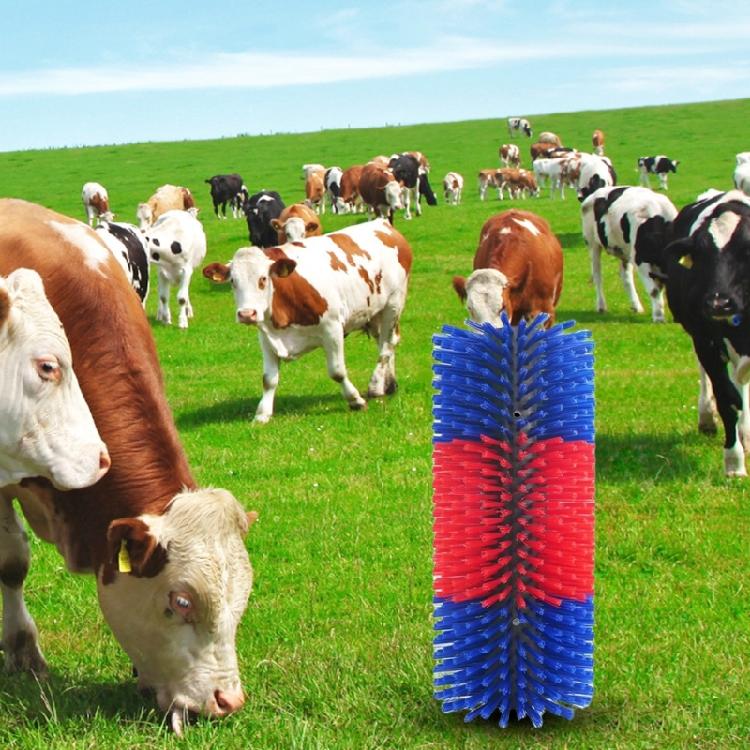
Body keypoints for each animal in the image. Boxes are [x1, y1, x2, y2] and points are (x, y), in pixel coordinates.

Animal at [202, 218, 412, 423]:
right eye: (233, 281)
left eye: (263, 279)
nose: (247, 314)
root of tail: (382, 223)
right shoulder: (267, 337)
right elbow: (268, 379)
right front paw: (262, 414)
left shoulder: (332, 328)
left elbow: (337, 372)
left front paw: (355, 400)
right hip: (375, 311)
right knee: (386, 342)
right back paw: (389, 384)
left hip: (394, 302)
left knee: (387, 345)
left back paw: (375, 386)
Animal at [580, 186, 677, 322]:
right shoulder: (641, 261)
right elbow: (654, 290)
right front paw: (658, 316)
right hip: (592, 244)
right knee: (597, 275)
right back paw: (601, 306)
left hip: (624, 251)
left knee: (625, 277)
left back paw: (636, 306)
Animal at [635, 190, 750, 477]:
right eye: (700, 255)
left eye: (747, 250)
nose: (718, 303)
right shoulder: (706, 342)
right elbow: (727, 399)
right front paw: (734, 463)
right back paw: (709, 419)